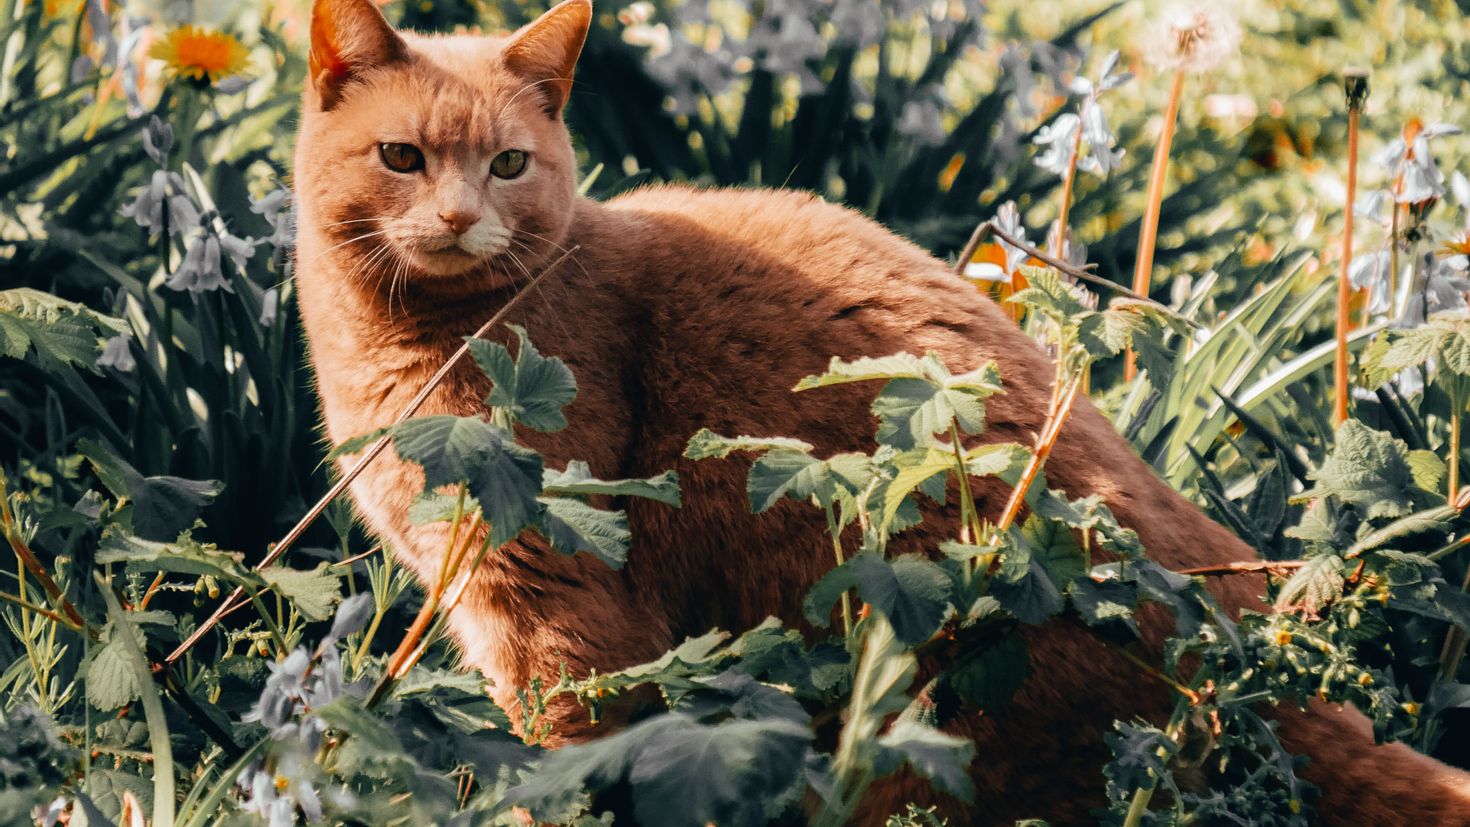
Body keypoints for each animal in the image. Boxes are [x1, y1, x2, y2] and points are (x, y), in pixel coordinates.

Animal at [292, 0, 1470, 822]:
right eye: (401, 157)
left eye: (507, 164)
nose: (459, 216)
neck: (415, 344)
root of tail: (1236, 623)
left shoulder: (554, 597)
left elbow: (560, 757)